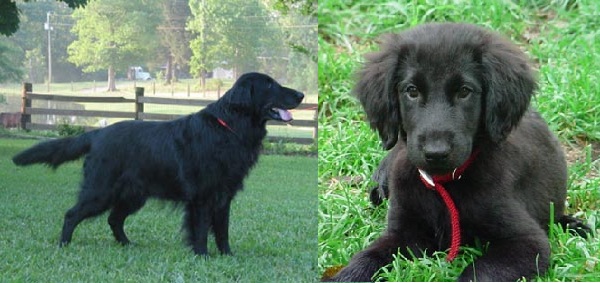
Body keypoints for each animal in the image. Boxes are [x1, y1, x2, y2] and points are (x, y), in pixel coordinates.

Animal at [12, 71, 304, 258]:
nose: (301, 94)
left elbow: (222, 231)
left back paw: (127, 245)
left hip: (132, 195)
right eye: (269, 85)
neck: (228, 127)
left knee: (114, 219)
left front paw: (228, 256)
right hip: (100, 191)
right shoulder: (202, 197)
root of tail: (97, 134)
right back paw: (64, 245)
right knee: (72, 214)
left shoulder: (224, 196)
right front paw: (202, 257)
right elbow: (201, 231)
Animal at [326, 23, 588, 282]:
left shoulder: (526, 242)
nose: (436, 152)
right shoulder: (403, 232)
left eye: (464, 91)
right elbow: (369, 256)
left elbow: (479, 273)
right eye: (412, 91)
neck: (444, 183)